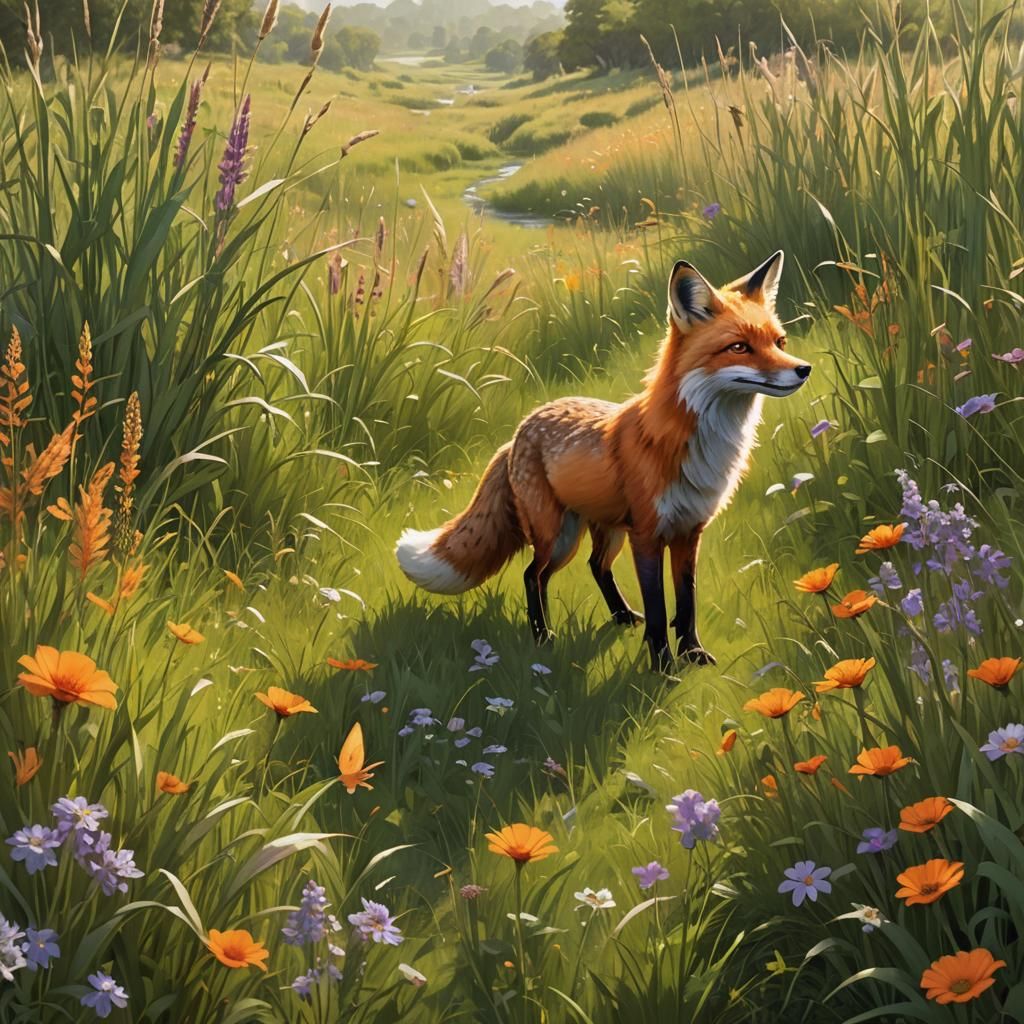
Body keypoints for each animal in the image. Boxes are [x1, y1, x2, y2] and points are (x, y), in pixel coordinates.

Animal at [395, 251, 811, 671]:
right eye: (739, 347)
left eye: (779, 341)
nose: (803, 369)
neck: (696, 444)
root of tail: (519, 431)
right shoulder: (647, 535)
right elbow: (659, 609)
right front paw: (663, 666)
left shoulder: (689, 532)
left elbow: (687, 601)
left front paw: (692, 653)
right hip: (557, 535)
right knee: (533, 575)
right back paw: (543, 637)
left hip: (604, 530)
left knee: (592, 567)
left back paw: (618, 616)